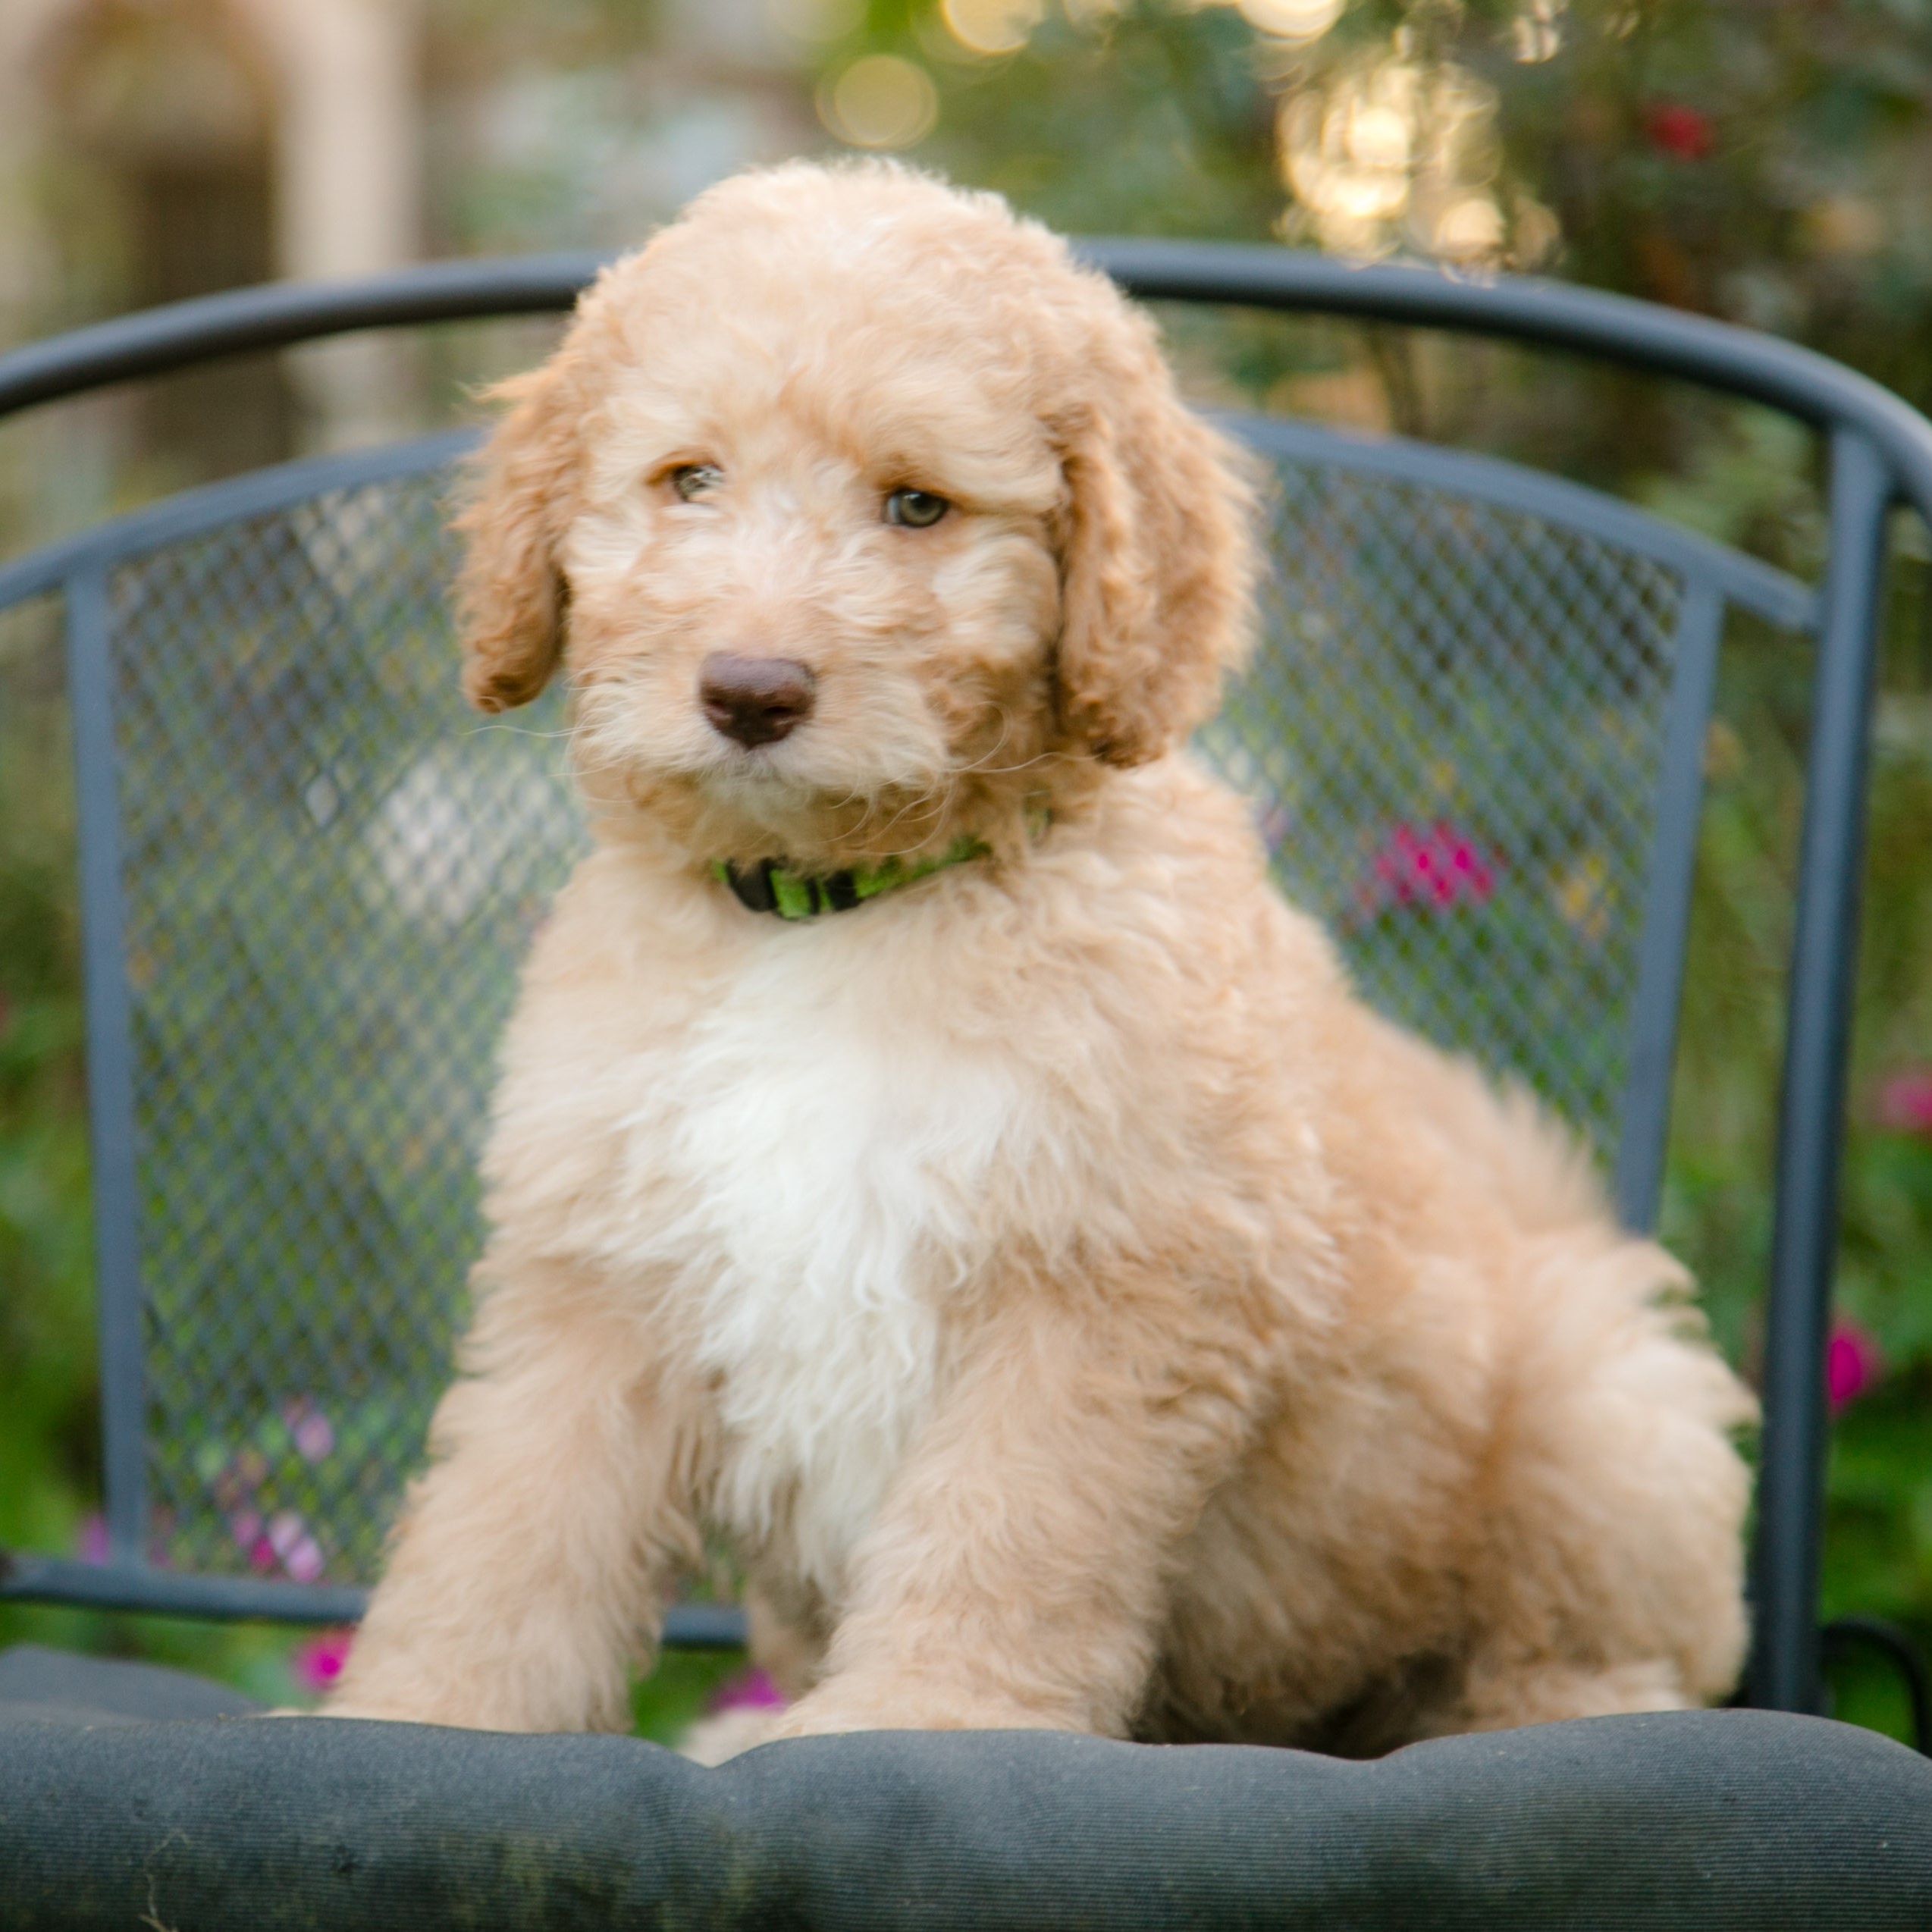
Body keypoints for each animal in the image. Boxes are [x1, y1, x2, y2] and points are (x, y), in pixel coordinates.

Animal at [325, 158, 1761, 1754]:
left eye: (916, 506)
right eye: (688, 480)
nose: (750, 692)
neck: (838, 912)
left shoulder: (1108, 1277)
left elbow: (1006, 1525)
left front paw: (920, 1715)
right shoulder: (597, 1273)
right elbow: (508, 1525)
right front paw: (420, 1717)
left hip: (1604, 1397)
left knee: (1603, 1641)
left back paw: (1536, 1714)